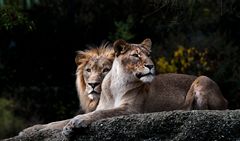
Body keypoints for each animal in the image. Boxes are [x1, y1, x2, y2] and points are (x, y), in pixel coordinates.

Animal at [62, 38, 227, 137]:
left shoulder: (130, 110)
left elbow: (101, 114)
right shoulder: (103, 105)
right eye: (136, 55)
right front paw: (68, 128)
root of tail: (225, 99)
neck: (117, 84)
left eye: (149, 55)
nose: (150, 65)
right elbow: (97, 112)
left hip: (202, 79)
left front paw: (78, 121)